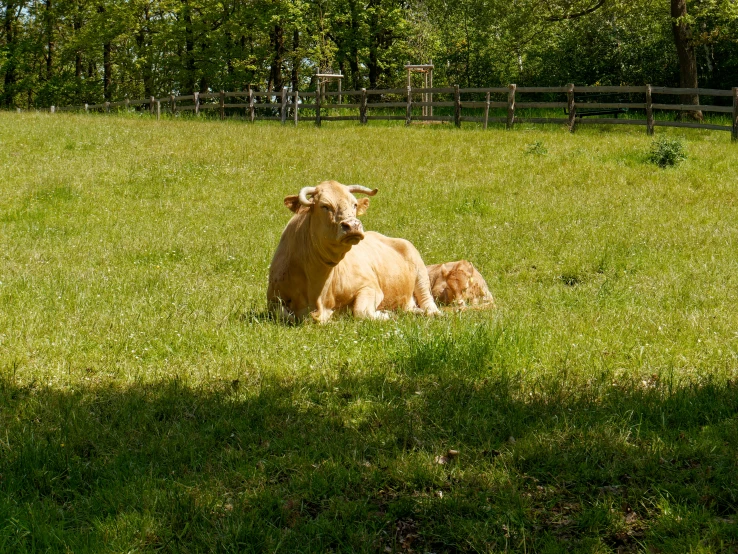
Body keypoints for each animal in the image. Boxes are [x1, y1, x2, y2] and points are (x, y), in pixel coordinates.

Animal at [268, 179, 440, 322]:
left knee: (428, 301)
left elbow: (361, 311)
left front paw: (385, 314)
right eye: (325, 206)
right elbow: (283, 314)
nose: (352, 225)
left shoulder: (370, 287)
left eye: (354, 204)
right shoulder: (273, 300)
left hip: (420, 272)